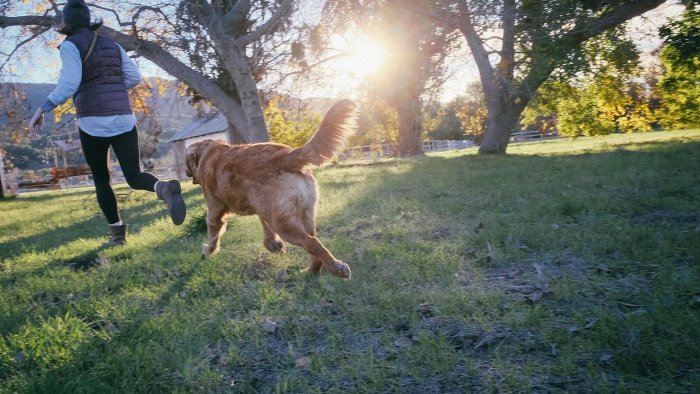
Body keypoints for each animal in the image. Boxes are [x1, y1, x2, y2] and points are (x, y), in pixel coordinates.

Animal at [185, 100, 356, 278]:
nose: (185, 172)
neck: (206, 152)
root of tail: (285, 156)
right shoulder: (261, 207)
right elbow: (265, 226)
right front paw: (273, 244)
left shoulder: (215, 209)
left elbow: (212, 232)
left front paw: (208, 250)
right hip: (304, 214)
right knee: (313, 245)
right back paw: (311, 271)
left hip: (283, 224)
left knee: (312, 242)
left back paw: (336, 267)